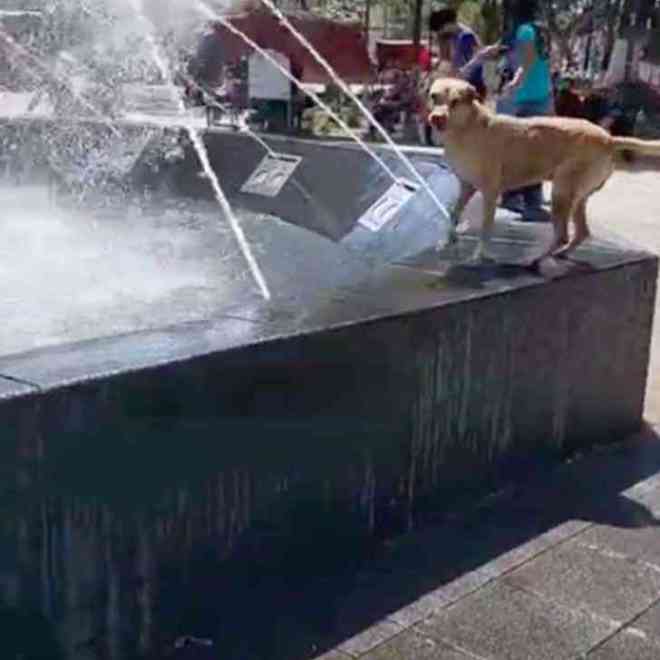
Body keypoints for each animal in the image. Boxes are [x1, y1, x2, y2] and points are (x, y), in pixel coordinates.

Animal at [428, 78, 660, 262]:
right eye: (434, 97)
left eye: (455, 102)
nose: (436, 118)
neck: (466, 127)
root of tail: (609, 138)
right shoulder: (466, 187)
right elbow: (453, 214)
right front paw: (446, 242)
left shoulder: (490, 192)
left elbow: (486, 228)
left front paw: (479, 256)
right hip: (577, 198)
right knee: (581, 233)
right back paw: (560, 254)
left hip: (561, 192)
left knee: (563, 235)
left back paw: (537, 258)